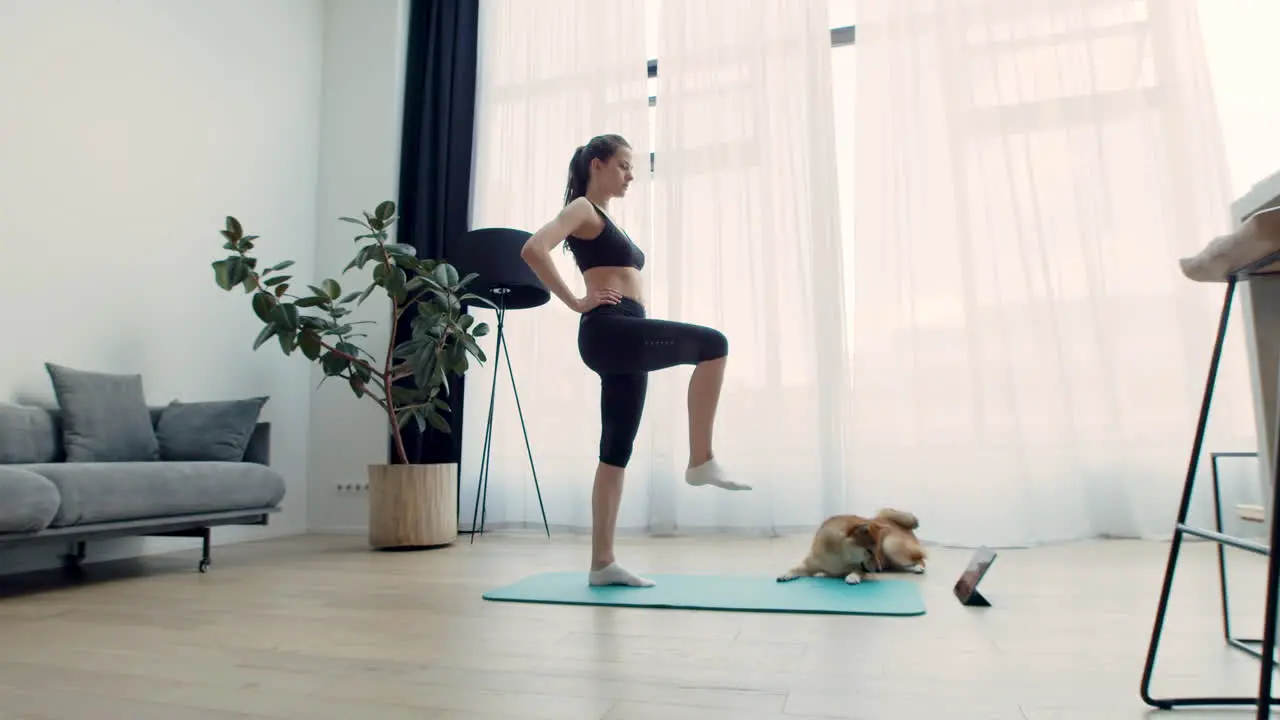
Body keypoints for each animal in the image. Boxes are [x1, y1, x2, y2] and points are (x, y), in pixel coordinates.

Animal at [773, 504, 926, 584]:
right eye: (870, 551)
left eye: (876, 550)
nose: (879, 570)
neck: (837, 558)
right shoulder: (810, 564)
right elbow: (795, 568)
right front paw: (786, 574)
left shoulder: (861, 567)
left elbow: (858, 570)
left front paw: (853, 576)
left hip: (891, 547)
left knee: (920, 558)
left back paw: (918, 567)